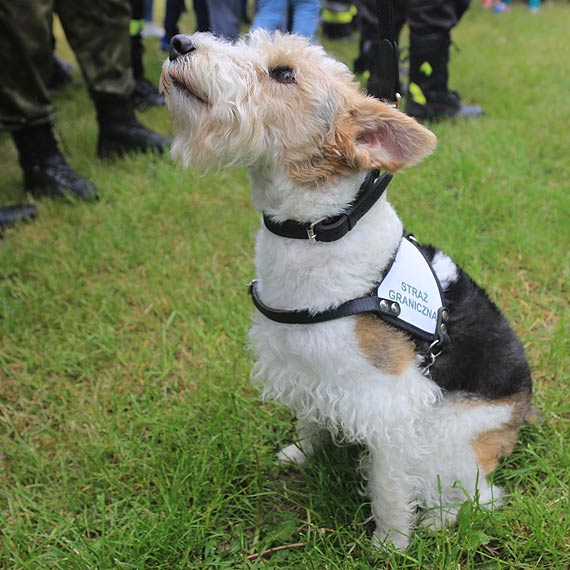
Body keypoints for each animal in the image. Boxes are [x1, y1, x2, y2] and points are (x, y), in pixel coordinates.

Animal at [161, 30, 532, 544]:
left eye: (283, 73)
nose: (179, 42)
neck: (316, 232)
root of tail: (524, 408)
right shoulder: (303, 366)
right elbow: (310, 418)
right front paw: (302, 453)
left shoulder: (389, 403)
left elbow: (388, 486)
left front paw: (391, 543)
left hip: (451, 438)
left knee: (480, 495)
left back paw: (435, 521)